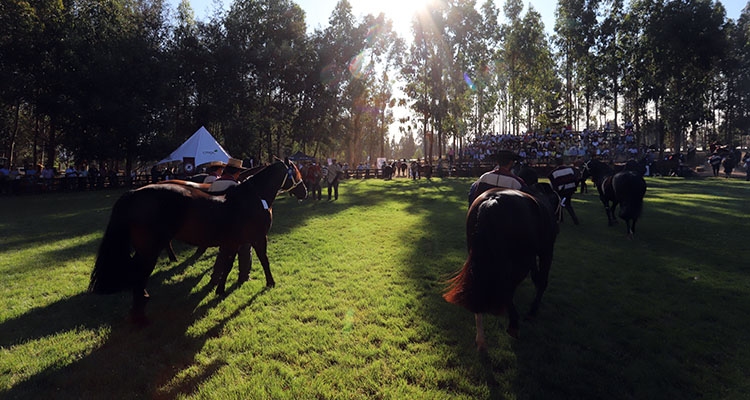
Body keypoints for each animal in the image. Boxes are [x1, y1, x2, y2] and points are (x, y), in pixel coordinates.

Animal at [89, 159, 308, 322]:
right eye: (297, 171)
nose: (304, 191)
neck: (253, 198)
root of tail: (134, 193)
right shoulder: (258, 238)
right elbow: (264, 260)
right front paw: (270, 282)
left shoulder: (234, 241)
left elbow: (227, 264)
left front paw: (219, 289)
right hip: (149, 250)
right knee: (139, 274)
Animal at [444, 183, 560, 348]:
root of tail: (492, 201)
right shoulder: (546, 250)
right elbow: (542, 280)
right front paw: (533, 311)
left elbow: (536, 277)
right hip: (519, 260)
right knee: (507, 287)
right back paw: (513, 324)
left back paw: (481, 335)